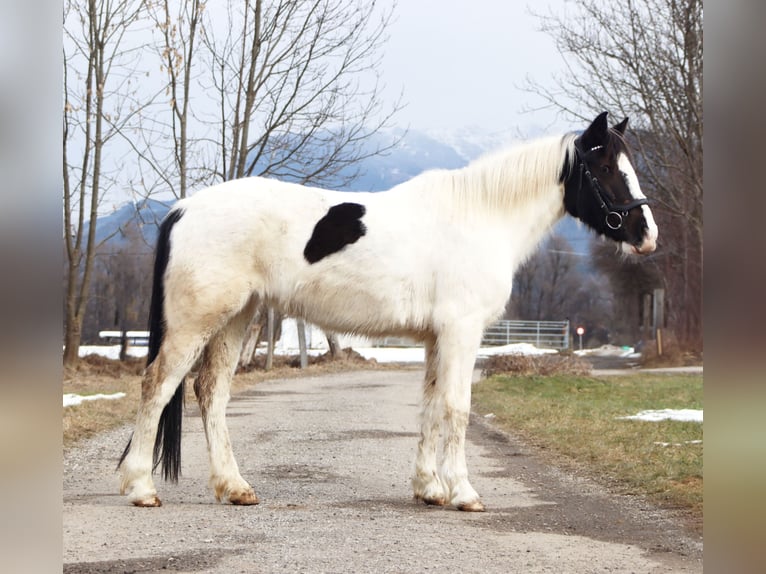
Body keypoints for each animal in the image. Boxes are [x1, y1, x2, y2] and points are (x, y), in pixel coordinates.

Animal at [118, 112, 658, 511]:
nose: (647, 234)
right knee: (158, 385)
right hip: (197, 322)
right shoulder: (461, 332)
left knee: (212, 392)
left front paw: (429, 489)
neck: (481, 216)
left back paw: (234, 488)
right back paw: (142, 488)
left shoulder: (438, 338)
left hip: (236, 317)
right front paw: (463, 493)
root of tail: (183, 209)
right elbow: (457, 408)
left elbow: (431, 407)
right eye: (605, 169)